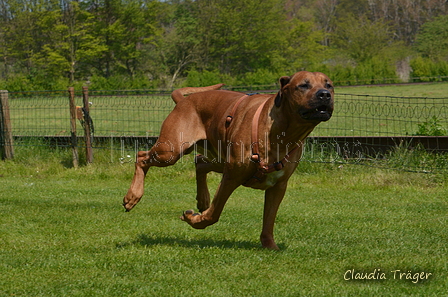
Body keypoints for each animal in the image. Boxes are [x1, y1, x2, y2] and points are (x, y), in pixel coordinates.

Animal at [122, 70, 332, 249]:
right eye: (303, 85)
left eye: (329, 85)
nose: (324, 95)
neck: (284, 133)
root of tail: (184, 101)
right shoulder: (231, 177)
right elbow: (214, 213)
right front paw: (194, 219)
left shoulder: (278, 186)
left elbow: (269, 219)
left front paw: (269, 245)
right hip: (171, 150)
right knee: (142, 157)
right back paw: (133, 196)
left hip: (218, 156)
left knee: (200, 162)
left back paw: (203, 199)